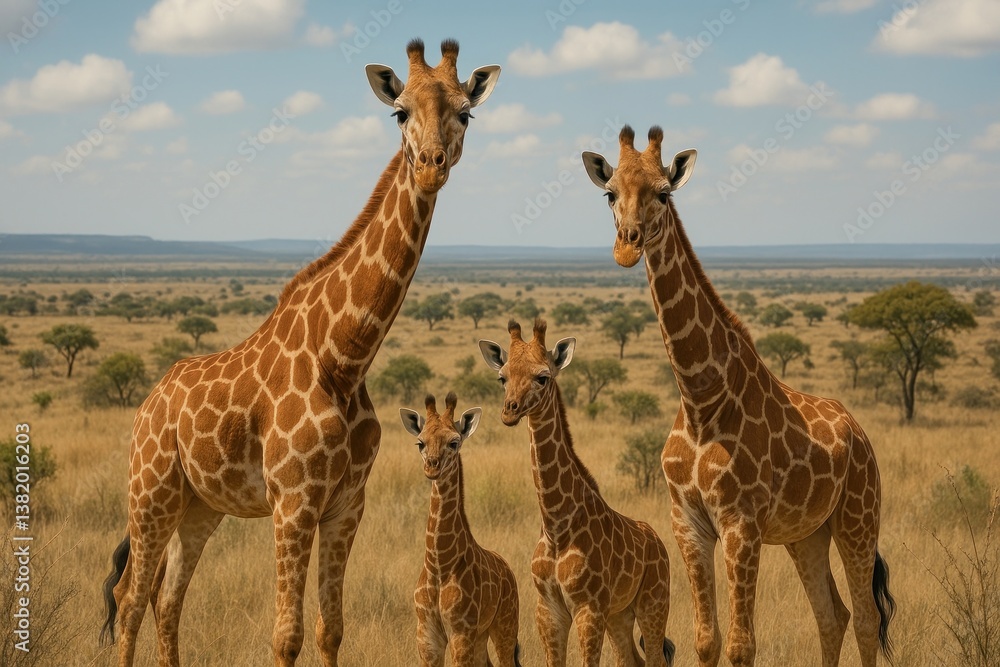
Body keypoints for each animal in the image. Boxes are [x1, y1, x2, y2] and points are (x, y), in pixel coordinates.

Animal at [99, 39, 500, 667]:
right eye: (399, 112)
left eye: (466, 112)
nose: (432, 165)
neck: (346, 357)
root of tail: (147, 404)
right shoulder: (292, 501)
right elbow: (285, 635)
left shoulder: (346, 504)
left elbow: (330, 628)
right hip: (150, 491)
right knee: (131, 596)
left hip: (200, 507)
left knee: (168, 600)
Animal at [399, 392, 522, 667]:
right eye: (420, 443)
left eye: (454, 442)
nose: (432, 466)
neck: (439, 565)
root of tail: (508, 568)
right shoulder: (427, 636)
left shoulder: (460, 631)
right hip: (481, 635)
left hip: (505, 625)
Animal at [479, 319, 675, 667]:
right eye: (502, 377)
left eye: (542, 377)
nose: (509, 411)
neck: (557, 525)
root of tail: (658, 541)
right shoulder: (548, 610)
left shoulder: (588, 608)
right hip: (620, 614)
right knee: (630, 659)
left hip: (654, 602)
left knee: (655, 658)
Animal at [581, 125, 896, 667]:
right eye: (609, 193)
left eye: (663, 193)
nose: (627, 247)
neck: (701, 398)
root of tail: (858, 431)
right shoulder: (688, 523)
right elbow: (707, 641)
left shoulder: (741, 525)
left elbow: (741, 646)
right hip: (807, 534)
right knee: (832, 615)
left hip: (858, 515)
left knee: (866, 617)